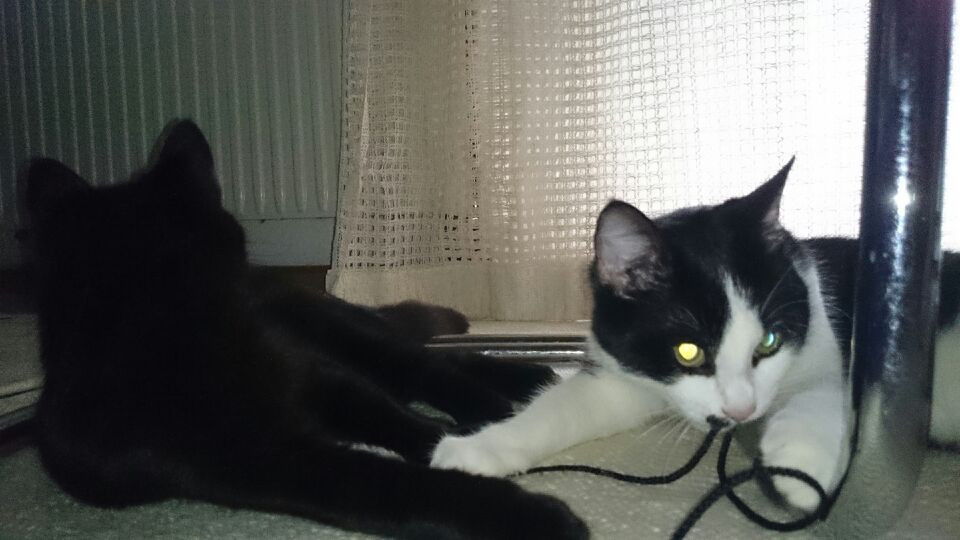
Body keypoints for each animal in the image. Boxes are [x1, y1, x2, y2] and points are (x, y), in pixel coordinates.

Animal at [22, 120, 589, 540]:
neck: (166, 324)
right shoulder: (268, 455)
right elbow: (389, 481)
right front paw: (528, 510)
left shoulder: (318, 375)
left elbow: (406, 422)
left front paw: (475, 444)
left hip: (335, 327)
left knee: (427, 365)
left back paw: (516, 391)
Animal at [432, 159, 960, 512]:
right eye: (688, 352)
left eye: (769, 342)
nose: (741, 411)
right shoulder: (626, 371)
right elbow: (568, 406)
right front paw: (477, 450)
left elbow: (830, 388)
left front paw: (801, 465)